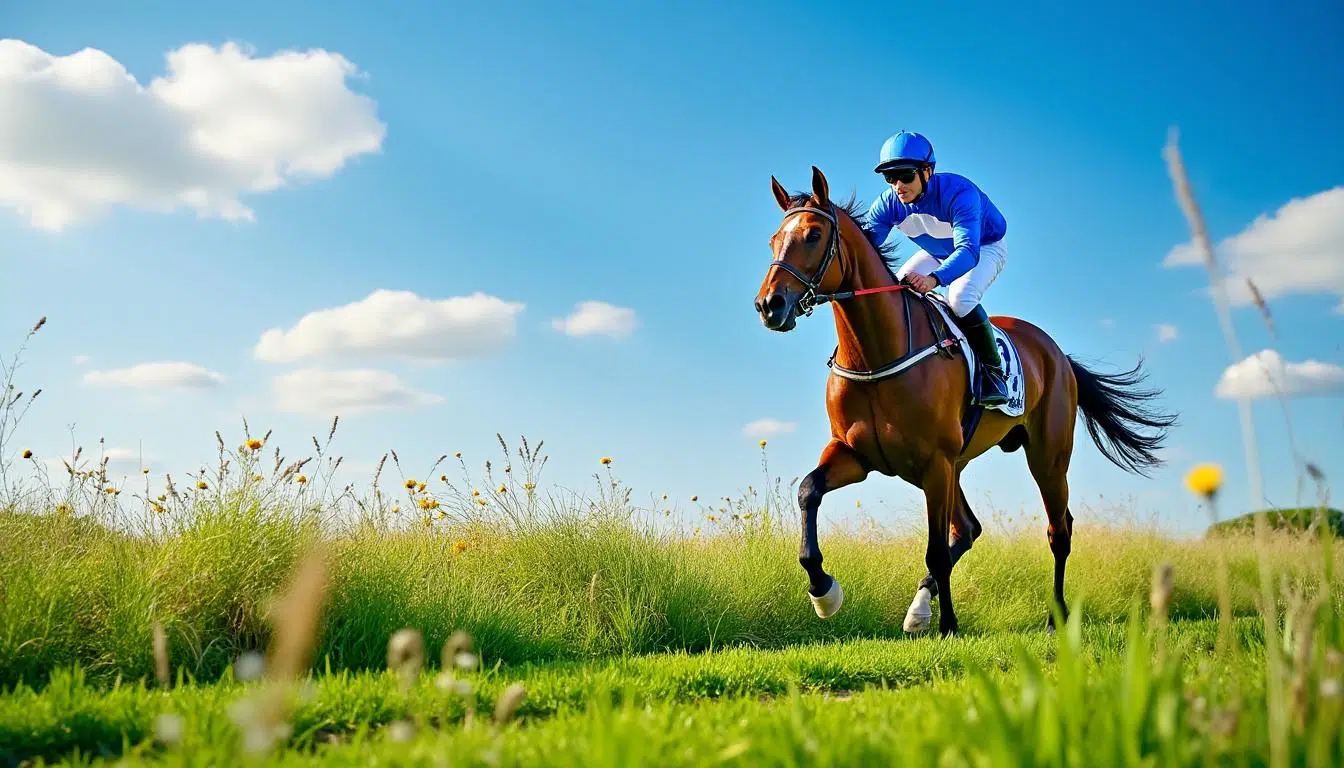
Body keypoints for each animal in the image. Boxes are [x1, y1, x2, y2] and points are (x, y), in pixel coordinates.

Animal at [753, 166, 1177, 637]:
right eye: (773, 239)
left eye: (812, 235)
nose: (769, 305)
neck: (877, 355)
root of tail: (1057, 353)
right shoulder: (856, 455)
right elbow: (809, 491)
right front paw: (824, 593)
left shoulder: (934, 461)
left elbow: (936, 549)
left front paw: (950, 624)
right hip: (954, 465)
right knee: (969, 529)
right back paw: (919, 607)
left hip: (1045, 455)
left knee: (1057, 529)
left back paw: (1056, 616)